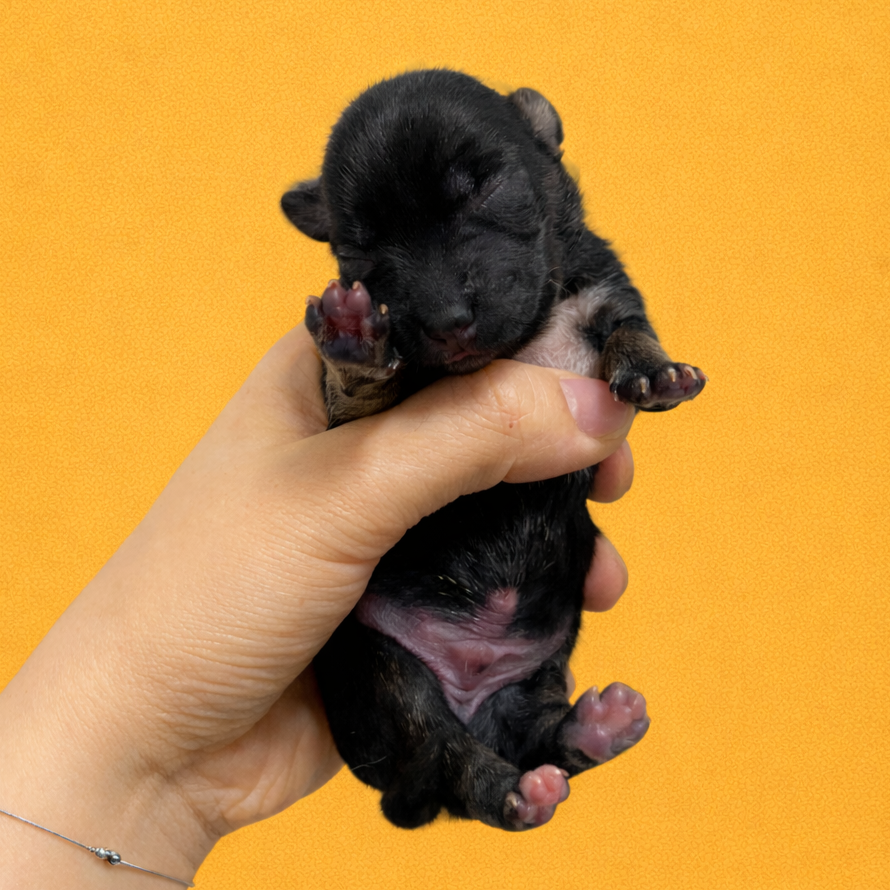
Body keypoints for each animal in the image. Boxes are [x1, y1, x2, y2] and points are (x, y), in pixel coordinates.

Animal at [281, 69, 706, 830]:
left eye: (484, 188)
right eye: (360, 246)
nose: (448, 319)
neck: (526, 338)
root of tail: (470, 691)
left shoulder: (604, 287)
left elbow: (629, 327)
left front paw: (655, 371)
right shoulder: (353, 415)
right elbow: (357, 395)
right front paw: (355, 339)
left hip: (535, 672)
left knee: (536, 735)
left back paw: (595, 728)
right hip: (382, 667)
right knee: (451, 758)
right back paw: (510, 788)